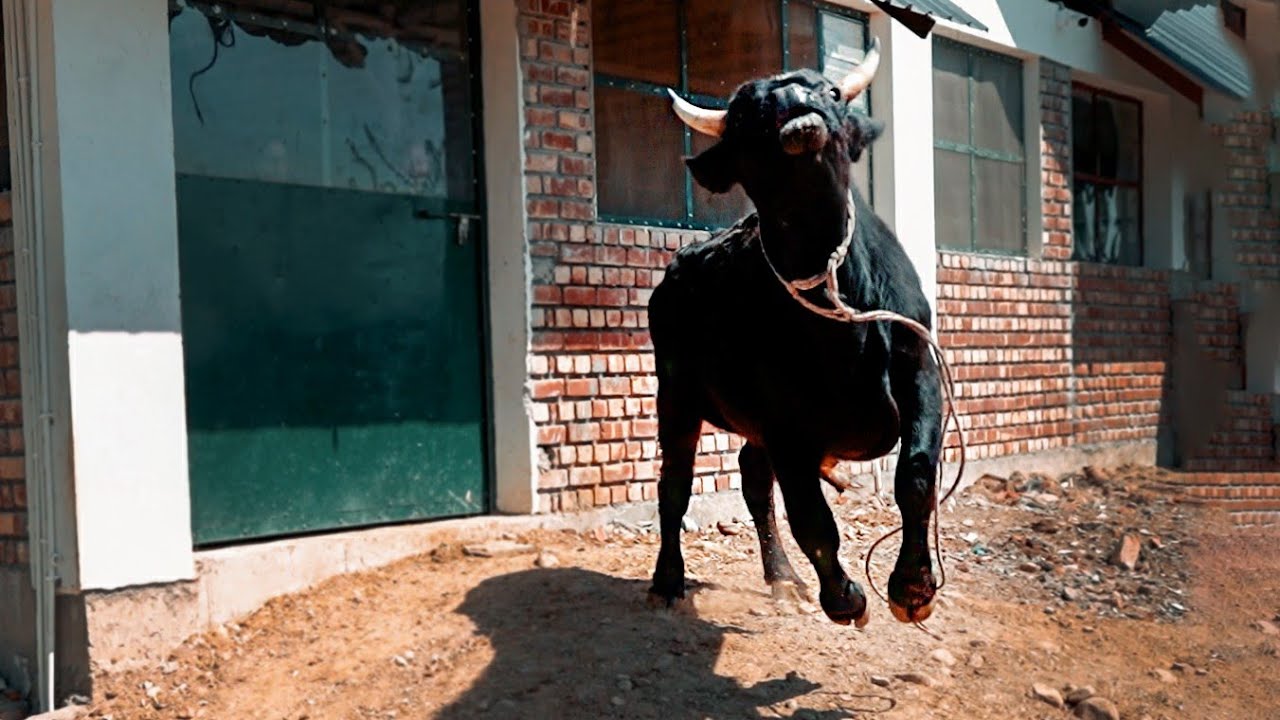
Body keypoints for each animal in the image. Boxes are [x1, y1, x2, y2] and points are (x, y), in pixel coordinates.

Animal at [647, 39, 945, 627]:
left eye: (829, 89)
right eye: (747, 116)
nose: (792, 101)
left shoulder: (919, 372)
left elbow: (917, 475)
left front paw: (913, 589)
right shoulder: (784, 422)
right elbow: (812, 517)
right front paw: (846, 598)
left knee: (751, 476)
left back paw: (783, 579)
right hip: (677, 398)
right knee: (676, 486)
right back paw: (667, 582)